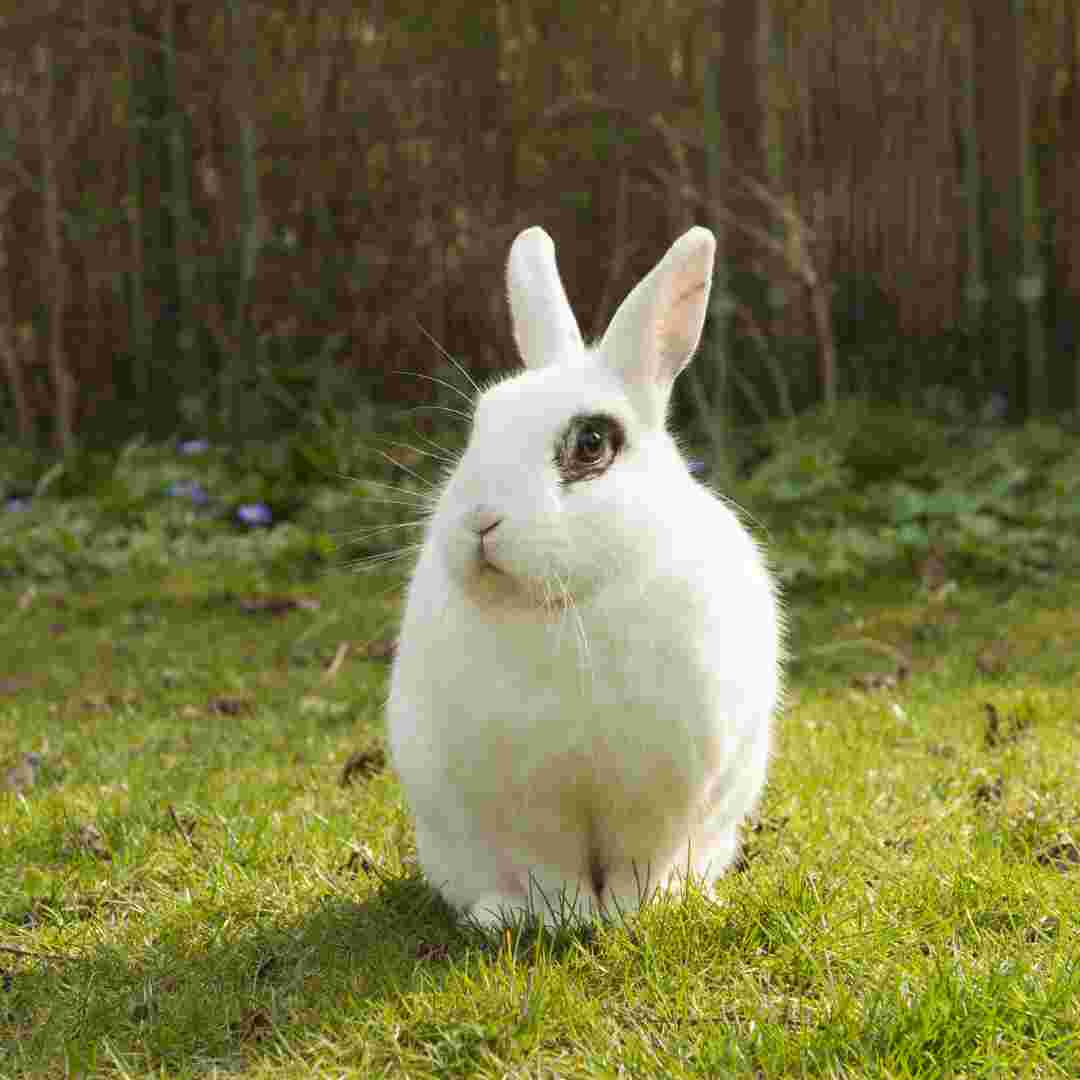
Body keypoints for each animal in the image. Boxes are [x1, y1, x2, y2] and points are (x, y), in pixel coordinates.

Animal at [384, 225, 781, 928]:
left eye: (591, 442)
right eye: (481, 423)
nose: (480, 520)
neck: (570, 606)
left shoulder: (659, 797)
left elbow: (637, 865)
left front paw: (630, 914)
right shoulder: (525, 804)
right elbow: (548, 870)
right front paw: (560, 918)